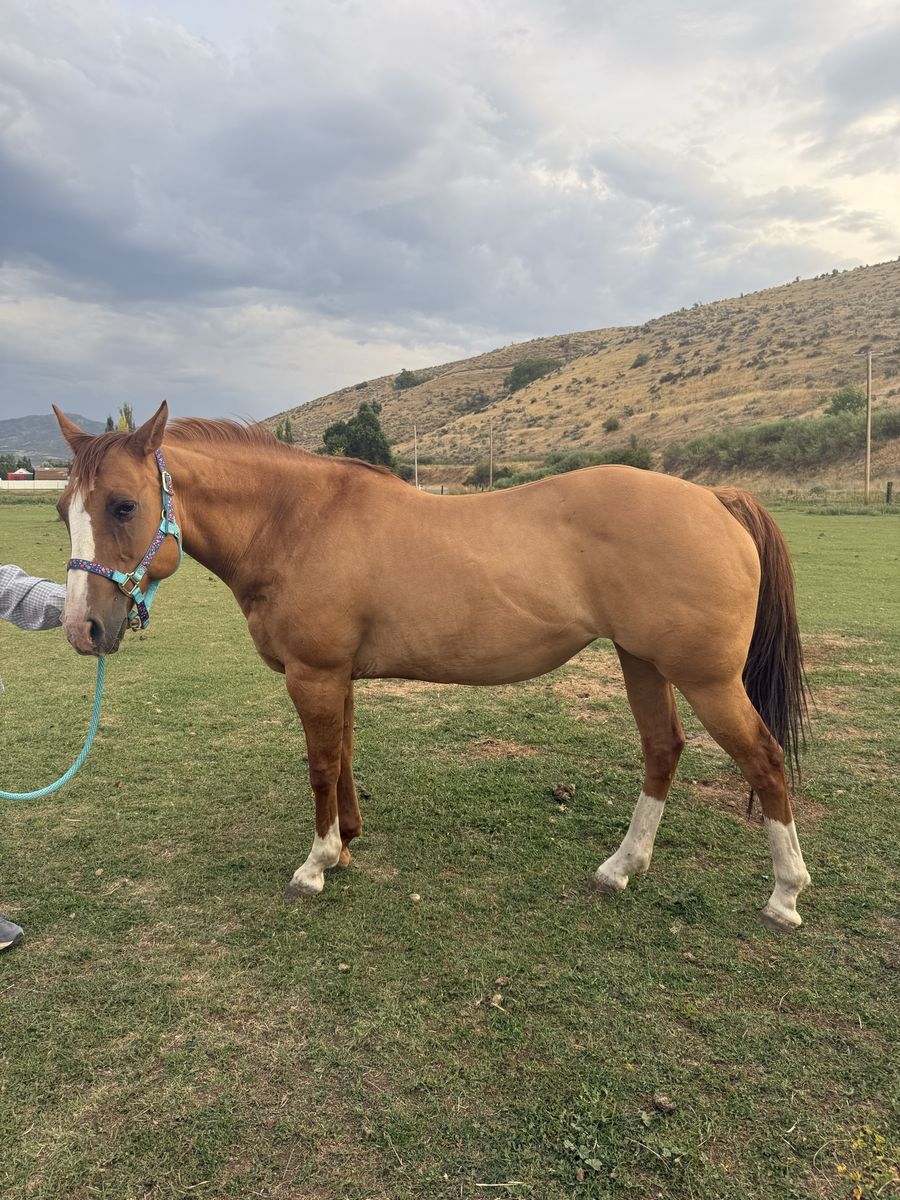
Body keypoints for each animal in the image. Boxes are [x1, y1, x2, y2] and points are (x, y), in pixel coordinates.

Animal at [52, 401, 812, 930]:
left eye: (123, 505)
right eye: (64, 510)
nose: (83, 629)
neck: (297, 521)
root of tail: (713, 498)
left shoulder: (313, 674)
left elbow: (320, 765)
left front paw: (316, 865)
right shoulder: (336, 677)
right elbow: (344, 755)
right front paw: (347, 842)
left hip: (707, 680)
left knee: (765, 760)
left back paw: (784, 896)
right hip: (643, 663)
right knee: (662, 750)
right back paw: (621, 868)